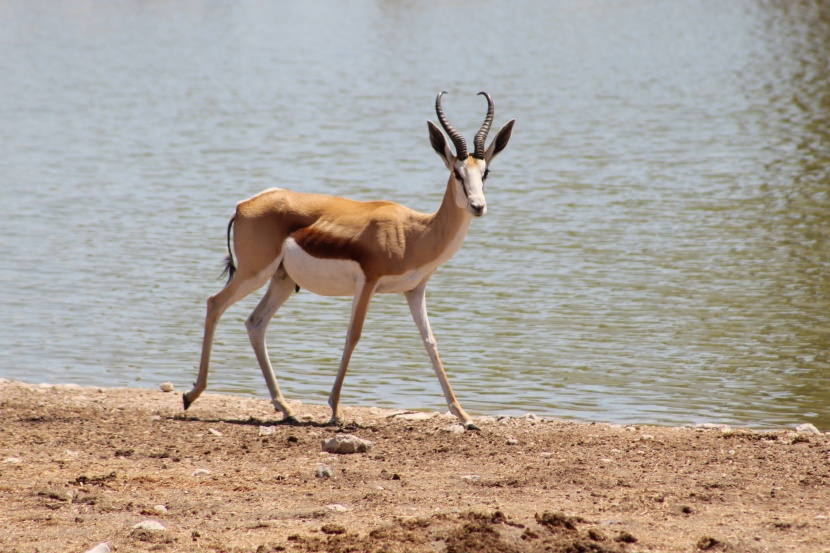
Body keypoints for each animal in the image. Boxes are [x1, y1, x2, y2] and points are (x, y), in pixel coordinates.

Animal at [184, 90, 512, 430]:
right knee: (215, 303)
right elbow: (353, 335)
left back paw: (286, 408)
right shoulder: (367, 283)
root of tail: (243, 205)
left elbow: (430, 342)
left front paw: (465, 417)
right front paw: (335, 410)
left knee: (255, 323)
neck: (415, 232)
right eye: (457, 172)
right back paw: (191, 395)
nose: (478, 206)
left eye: (485, 172)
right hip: (254, 272)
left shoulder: (414, 290)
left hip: (282, 281)